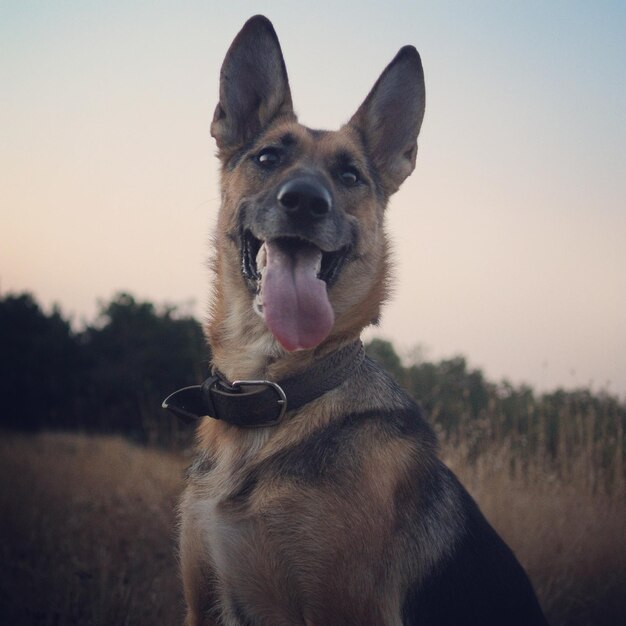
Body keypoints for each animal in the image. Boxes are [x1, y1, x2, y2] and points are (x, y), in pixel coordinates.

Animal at [165, 13, 544, 624]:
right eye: (268, 158)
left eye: (349, 177)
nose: (304, 201)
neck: (271, 400)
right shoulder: (202, 602)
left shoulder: (344, 608)